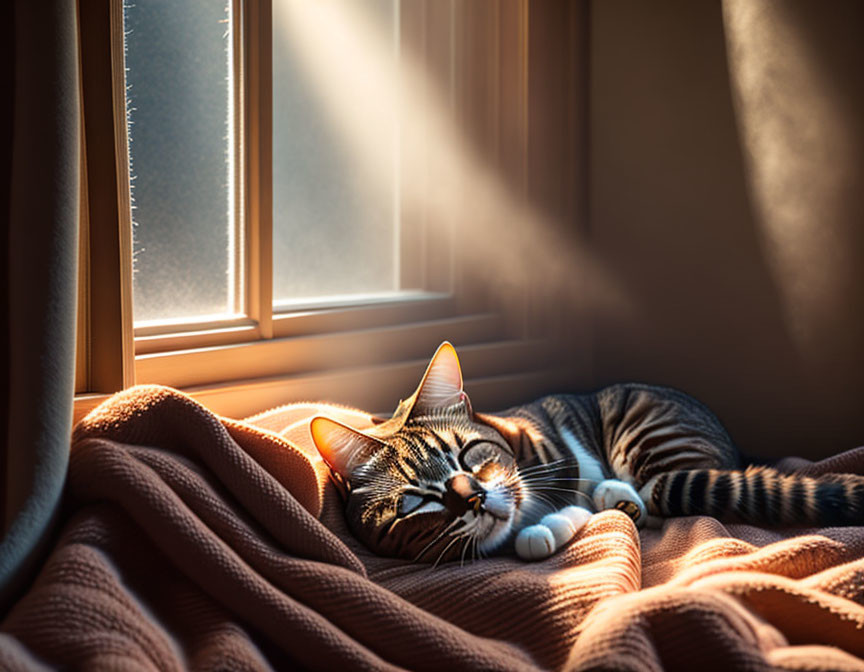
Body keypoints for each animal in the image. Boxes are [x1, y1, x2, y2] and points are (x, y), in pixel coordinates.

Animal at [310, 342, 864, 560]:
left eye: (469, 455)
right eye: (415, 501)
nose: (473, 499)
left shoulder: (553, 448)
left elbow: (558, 488)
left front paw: (546, 524)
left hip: (644, 430)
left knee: (658, 493)